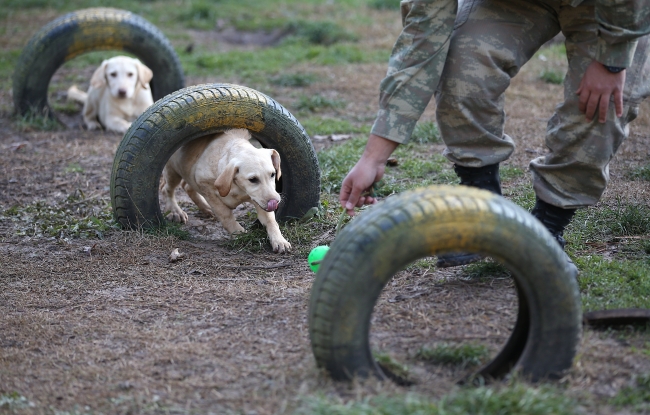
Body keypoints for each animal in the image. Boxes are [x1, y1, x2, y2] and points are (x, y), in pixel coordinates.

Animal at [159, 129, 292, 254]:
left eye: (273, 174)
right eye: (253, 179)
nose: (275, 202)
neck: (238, 187)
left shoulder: (259, 201)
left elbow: (271, 220)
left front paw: (279, 240)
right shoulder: (206, 186)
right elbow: (225, 214)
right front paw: (240, 233)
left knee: (186, 186)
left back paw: (205, 208)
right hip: (172, 171)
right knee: (167, 189)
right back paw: (175, 211)